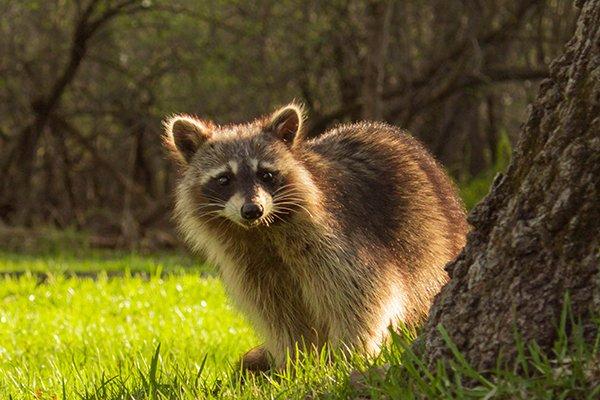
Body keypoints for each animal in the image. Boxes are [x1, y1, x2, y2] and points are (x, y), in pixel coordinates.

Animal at [164, 104, 468, 372]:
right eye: (224, 179)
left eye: (266, 174)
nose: (252, 210)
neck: (260, 232)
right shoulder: (249, 265)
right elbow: (279, 314)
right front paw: (296, 361)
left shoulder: (338, 238)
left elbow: (362, 295)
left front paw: (348, 355)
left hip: (431, 236)